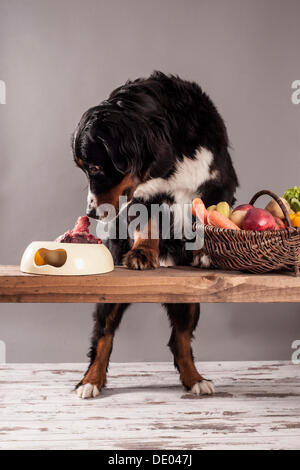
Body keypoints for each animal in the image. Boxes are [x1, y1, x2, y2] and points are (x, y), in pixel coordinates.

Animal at [71, 71, 238, 398]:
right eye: (85, 169)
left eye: (95, 167)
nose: (92, 213)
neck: (170, 155)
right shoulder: (146, 197)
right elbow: (149, 224)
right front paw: (142, 254)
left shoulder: (219, 183)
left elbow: (209, 217)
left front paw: (206, 253)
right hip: (109, 296)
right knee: (104, 335)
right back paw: (90, 381)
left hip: (188, 299)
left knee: (179, 339)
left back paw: (195, 379)